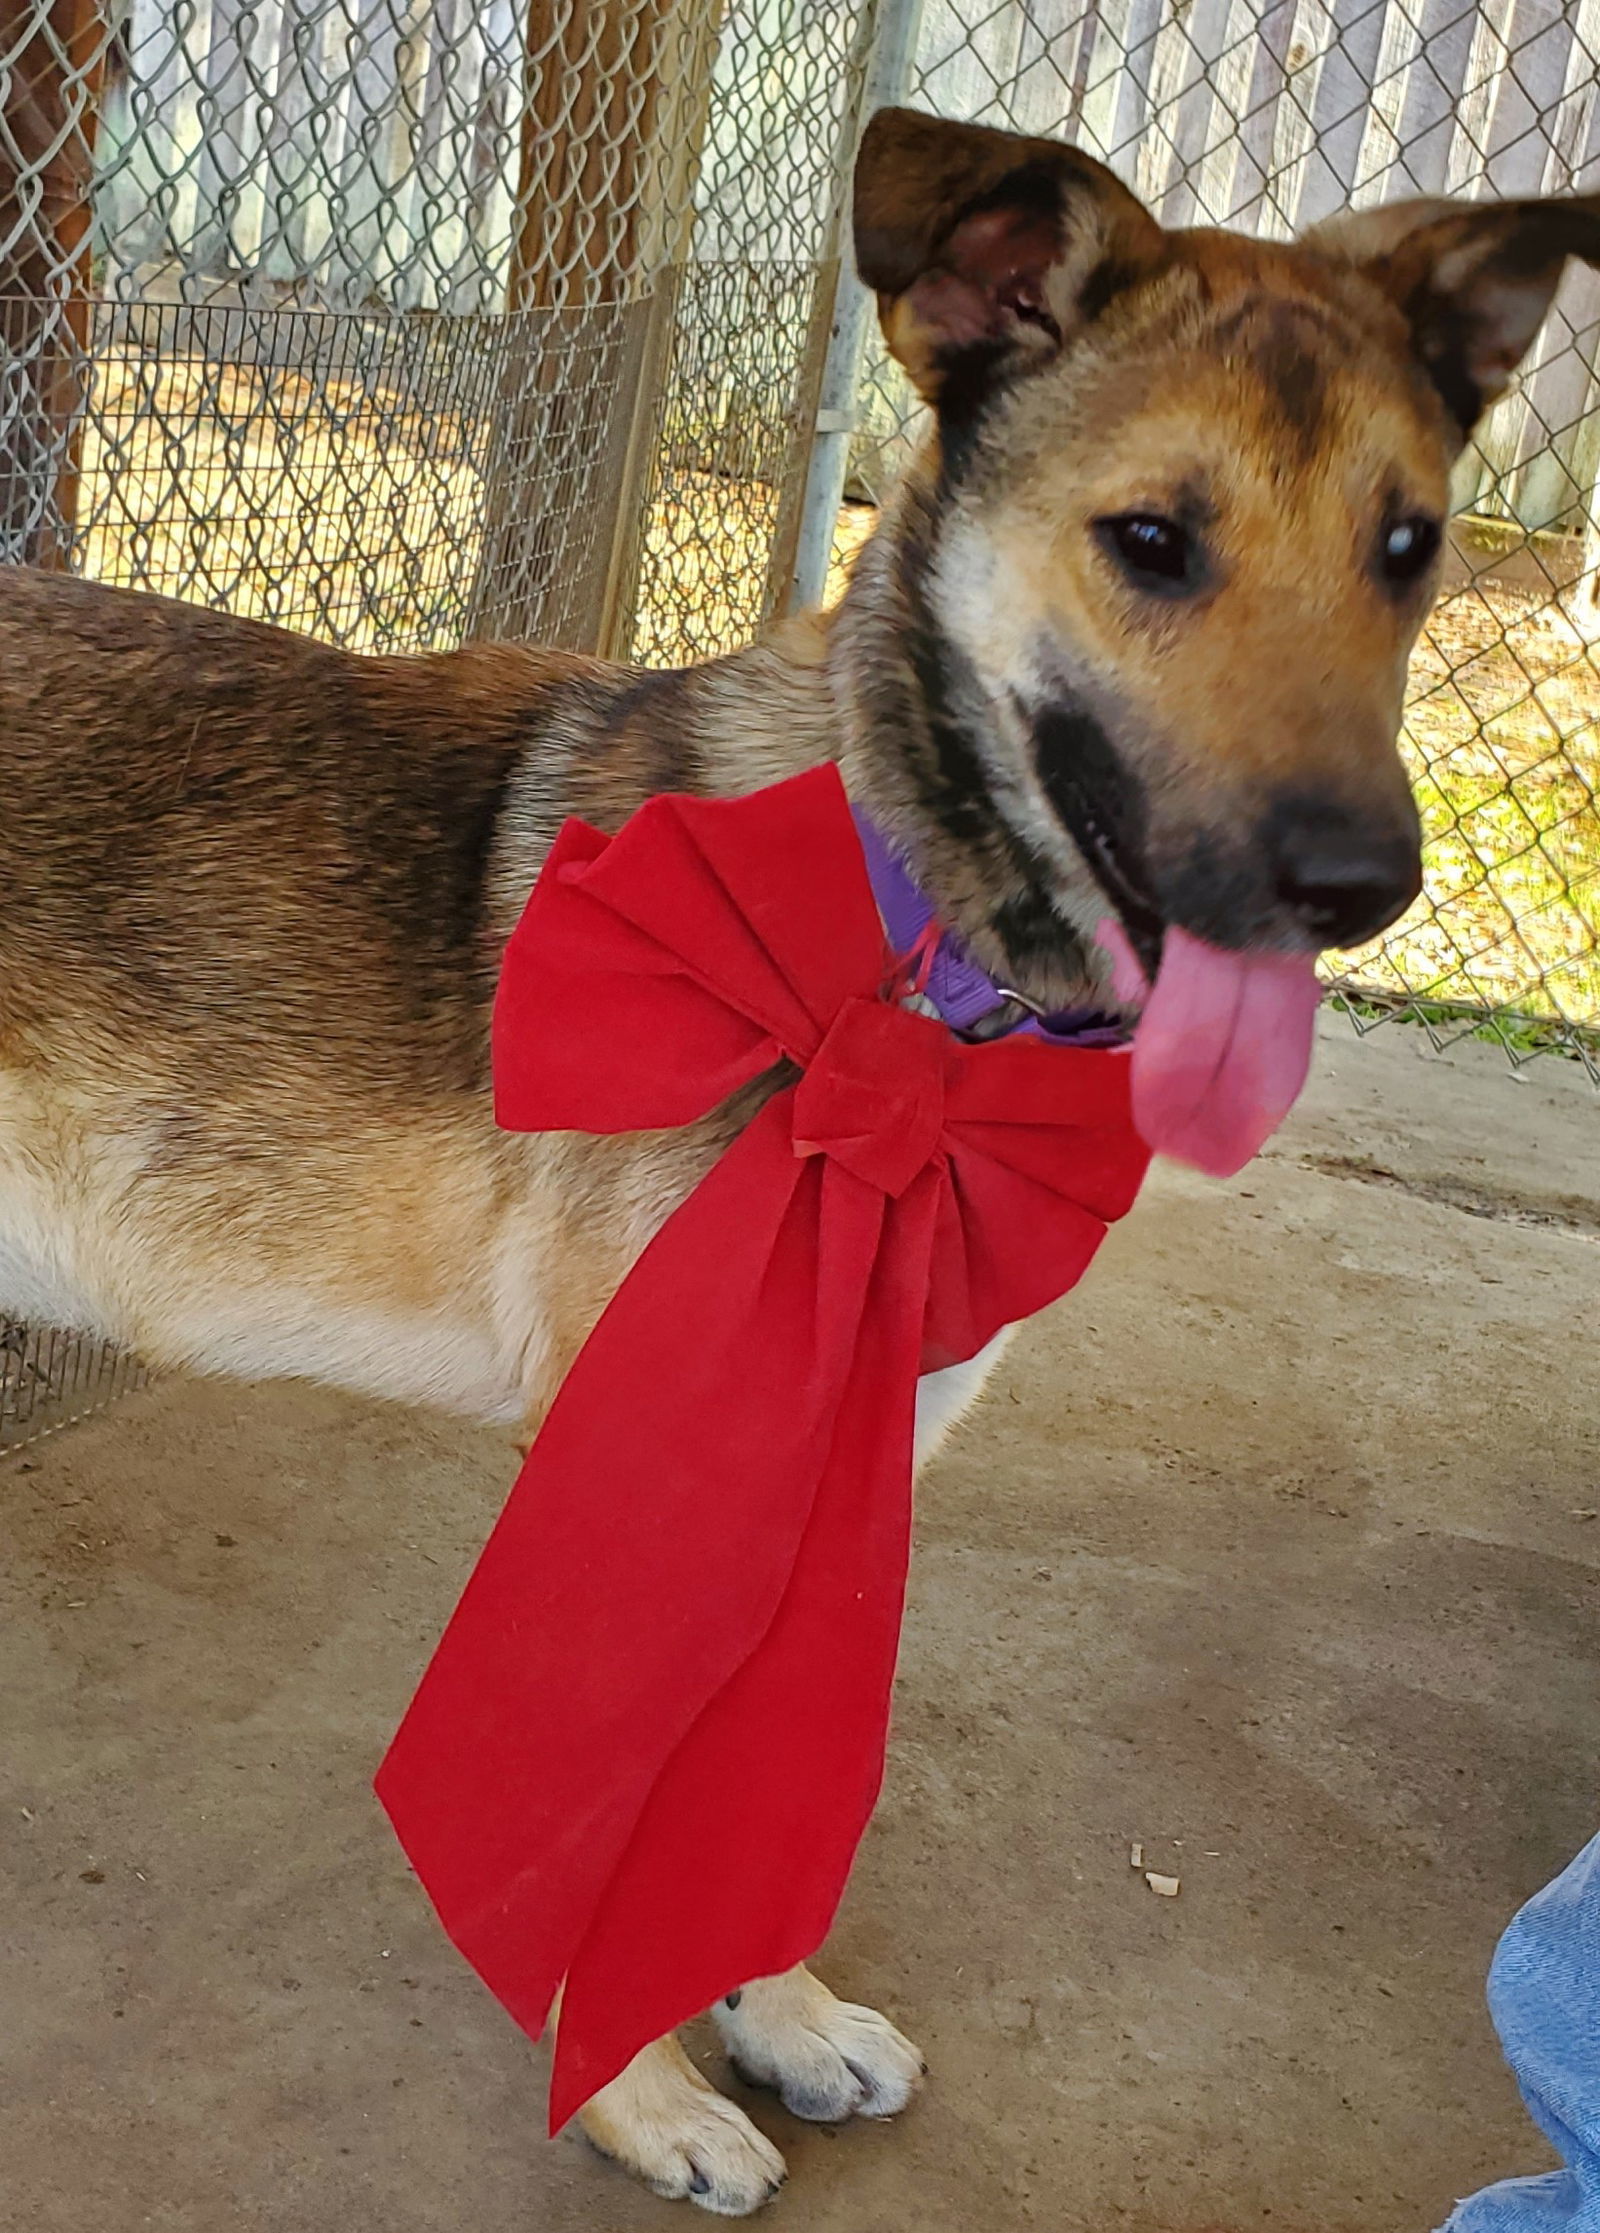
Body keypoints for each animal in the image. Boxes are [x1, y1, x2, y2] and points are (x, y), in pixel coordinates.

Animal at [3, 108, 1597, 2215]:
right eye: (1151, 541)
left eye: (1408, 549)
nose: (1362, 884)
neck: (902, 960)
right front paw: (645, 2097)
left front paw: (773, 2018)